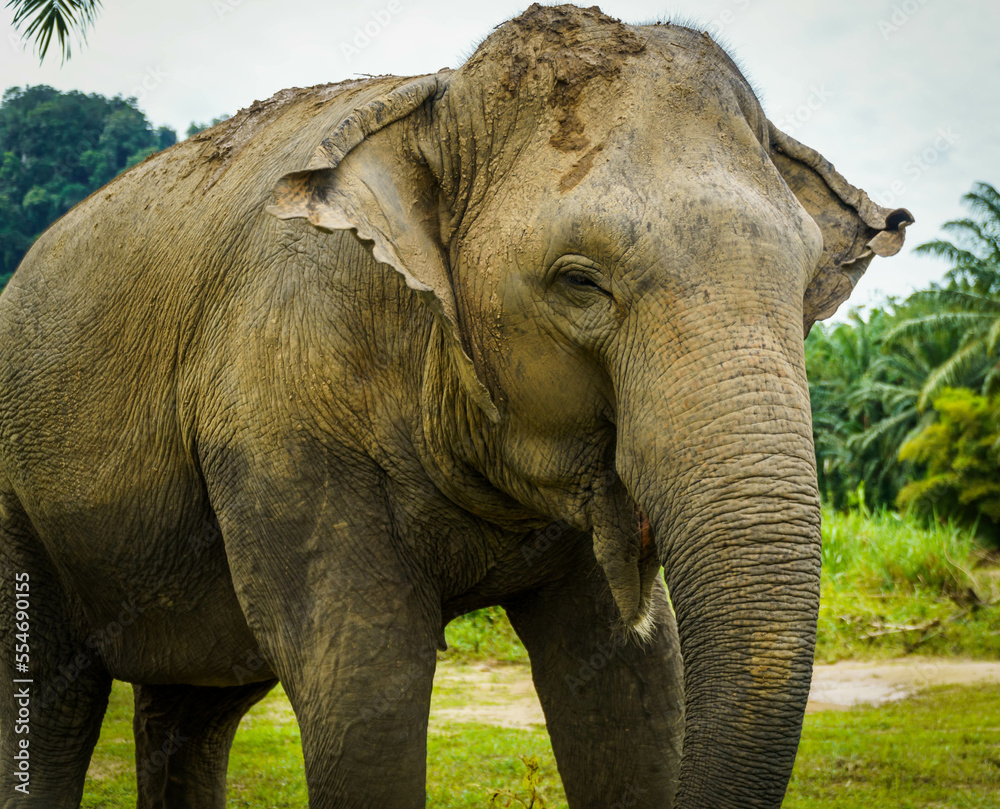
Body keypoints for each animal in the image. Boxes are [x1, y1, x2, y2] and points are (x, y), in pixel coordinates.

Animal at [0, 4, 911, 808]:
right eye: (579, 282)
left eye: (805, 279)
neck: (433, 105)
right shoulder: (279, 417)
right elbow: (368, 680)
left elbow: (630, 683)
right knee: (48, 695)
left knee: (190, 708)